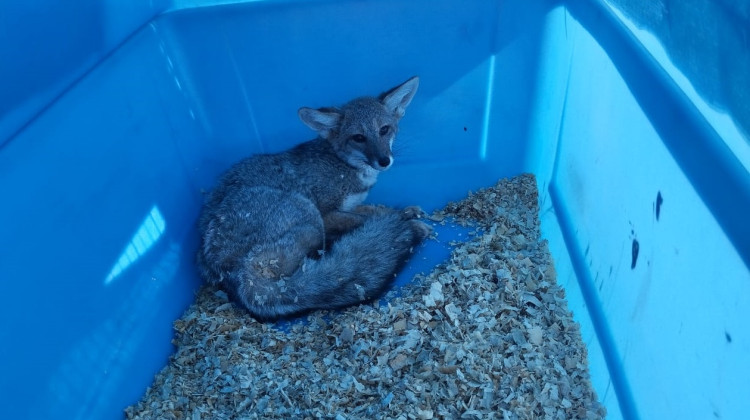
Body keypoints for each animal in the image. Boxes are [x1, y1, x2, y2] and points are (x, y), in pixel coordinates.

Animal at [197, 78, 432, 322]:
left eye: (384, 130)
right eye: (358, 138)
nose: (384, 160)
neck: (343, 165)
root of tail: (235, 275)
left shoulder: (351, 204)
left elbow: (375, 210)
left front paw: (405, 212)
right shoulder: (327, 215)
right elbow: (363, 218)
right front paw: (408, 223)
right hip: (309, 216)